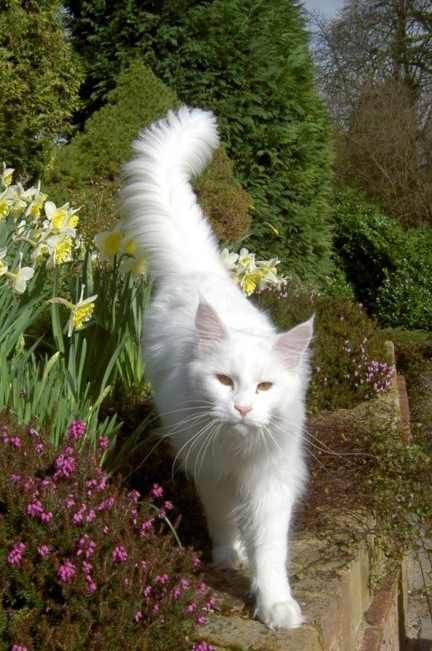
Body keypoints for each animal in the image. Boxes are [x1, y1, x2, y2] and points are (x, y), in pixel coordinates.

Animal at [121, 108, 310, 632]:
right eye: (224, 381)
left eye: (264, 387)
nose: (242, 409)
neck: (237, 449)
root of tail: (198, 271)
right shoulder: (210, 470)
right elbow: (223, 520)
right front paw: (228, 559)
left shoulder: (271, 480)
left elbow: (271, 549)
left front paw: (275, 604)